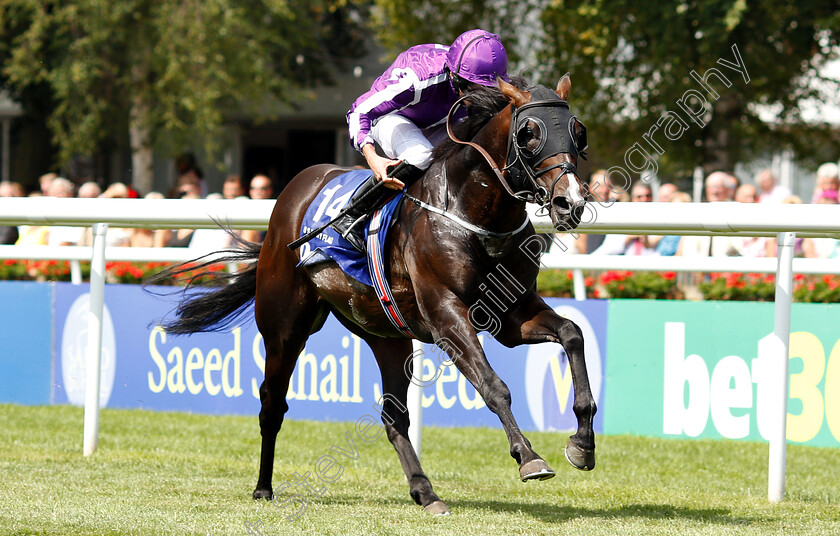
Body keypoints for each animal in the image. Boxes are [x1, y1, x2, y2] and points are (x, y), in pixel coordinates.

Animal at [154, 75, 592, 516]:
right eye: (529, 133)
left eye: (578, 132)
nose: (570, 202)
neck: (471, 212)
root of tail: (292, 193)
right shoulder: (448, 317)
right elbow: (494, 385)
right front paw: (529, 457)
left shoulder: (511, 315)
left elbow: (572, 333)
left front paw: (582, 444)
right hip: (285, 328)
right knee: (272, 403)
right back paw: (263, 487)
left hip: (387, 336)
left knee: (393, 417)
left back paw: (426, 493)